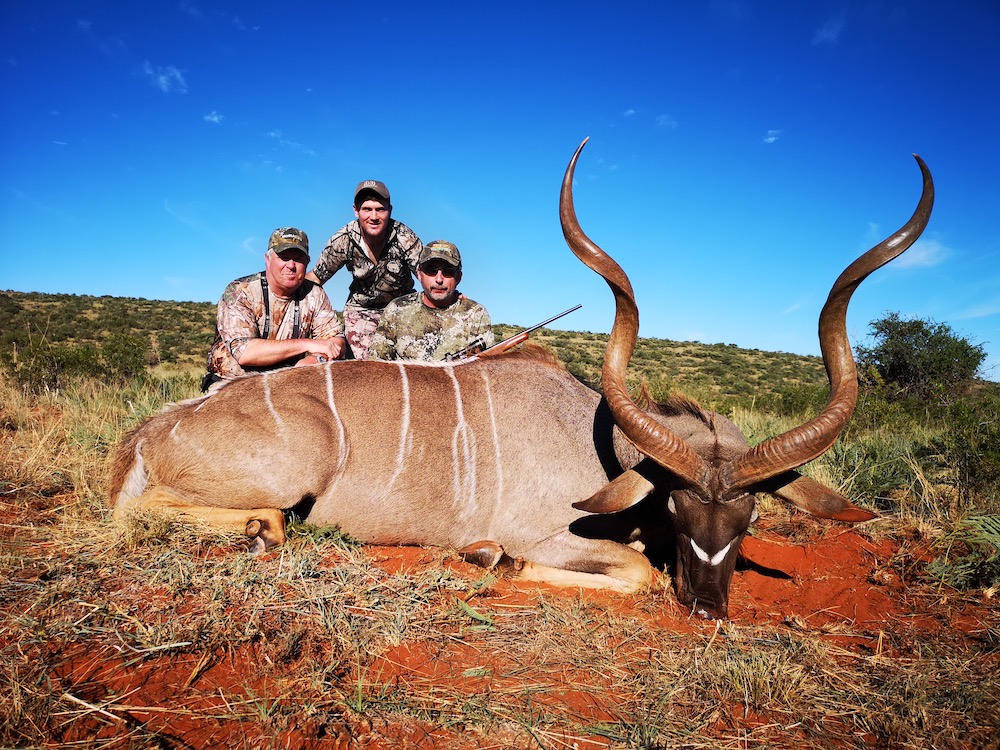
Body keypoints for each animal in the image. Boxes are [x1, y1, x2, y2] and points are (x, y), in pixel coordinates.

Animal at [108, 139, 933, 619]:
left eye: (751, 516)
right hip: (285, 478)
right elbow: (634, 570)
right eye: (677, 500)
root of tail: (146, 436)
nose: (707, 608)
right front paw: (491, 559)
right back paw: (260, 529)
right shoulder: (550, 533)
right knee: (169, 513)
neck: (598, 443)